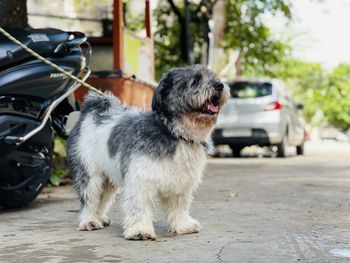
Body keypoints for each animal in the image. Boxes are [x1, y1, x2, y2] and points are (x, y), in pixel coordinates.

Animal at [67, 65, 231, 241]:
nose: (219, 85)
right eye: (196, 80)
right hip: (89, 173)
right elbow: (139, 207)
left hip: (108, 178)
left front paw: (183, 225)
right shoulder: (140, 180)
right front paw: (139, 230)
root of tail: (91, 112)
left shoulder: (180, 181)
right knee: (89, 198)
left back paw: (100, 218)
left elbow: (179, 206)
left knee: (103, 198)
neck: (174, 132)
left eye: (213, 77)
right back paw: (89, 220)